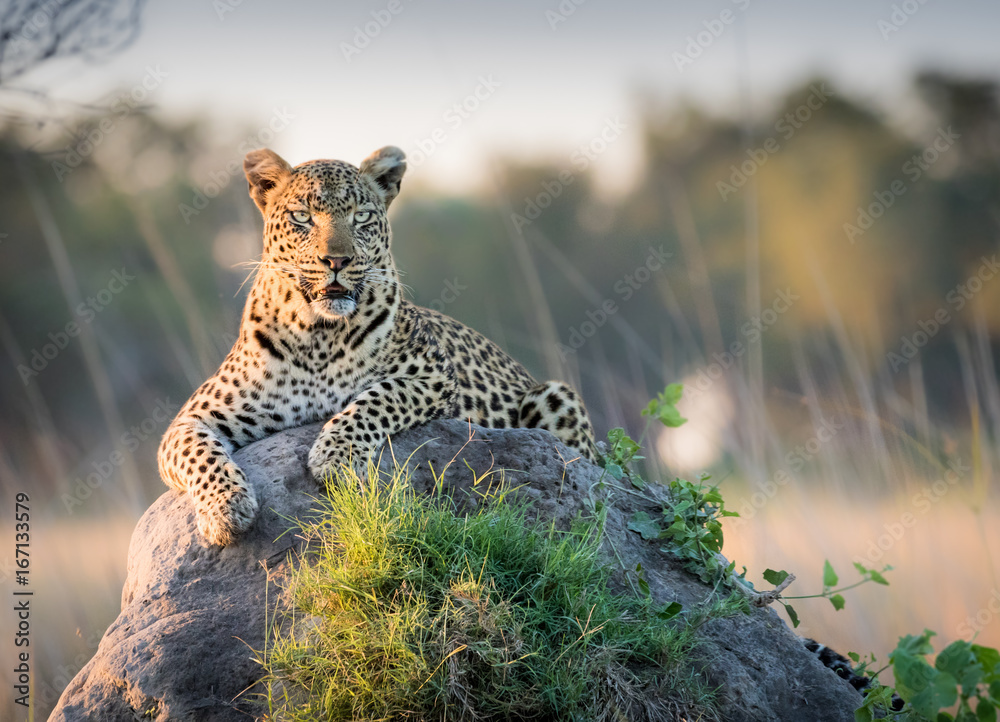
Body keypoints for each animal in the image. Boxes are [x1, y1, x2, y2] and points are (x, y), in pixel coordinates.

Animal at [157, 145, 598, 546]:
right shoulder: (192, 417)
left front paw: (334, 458)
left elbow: (376, 399)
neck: (317, 332)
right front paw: (225, 509)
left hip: (555, 397)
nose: (336, 260)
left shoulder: (434, 375)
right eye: (302, 216)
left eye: (362, 216)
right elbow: (196, 452)